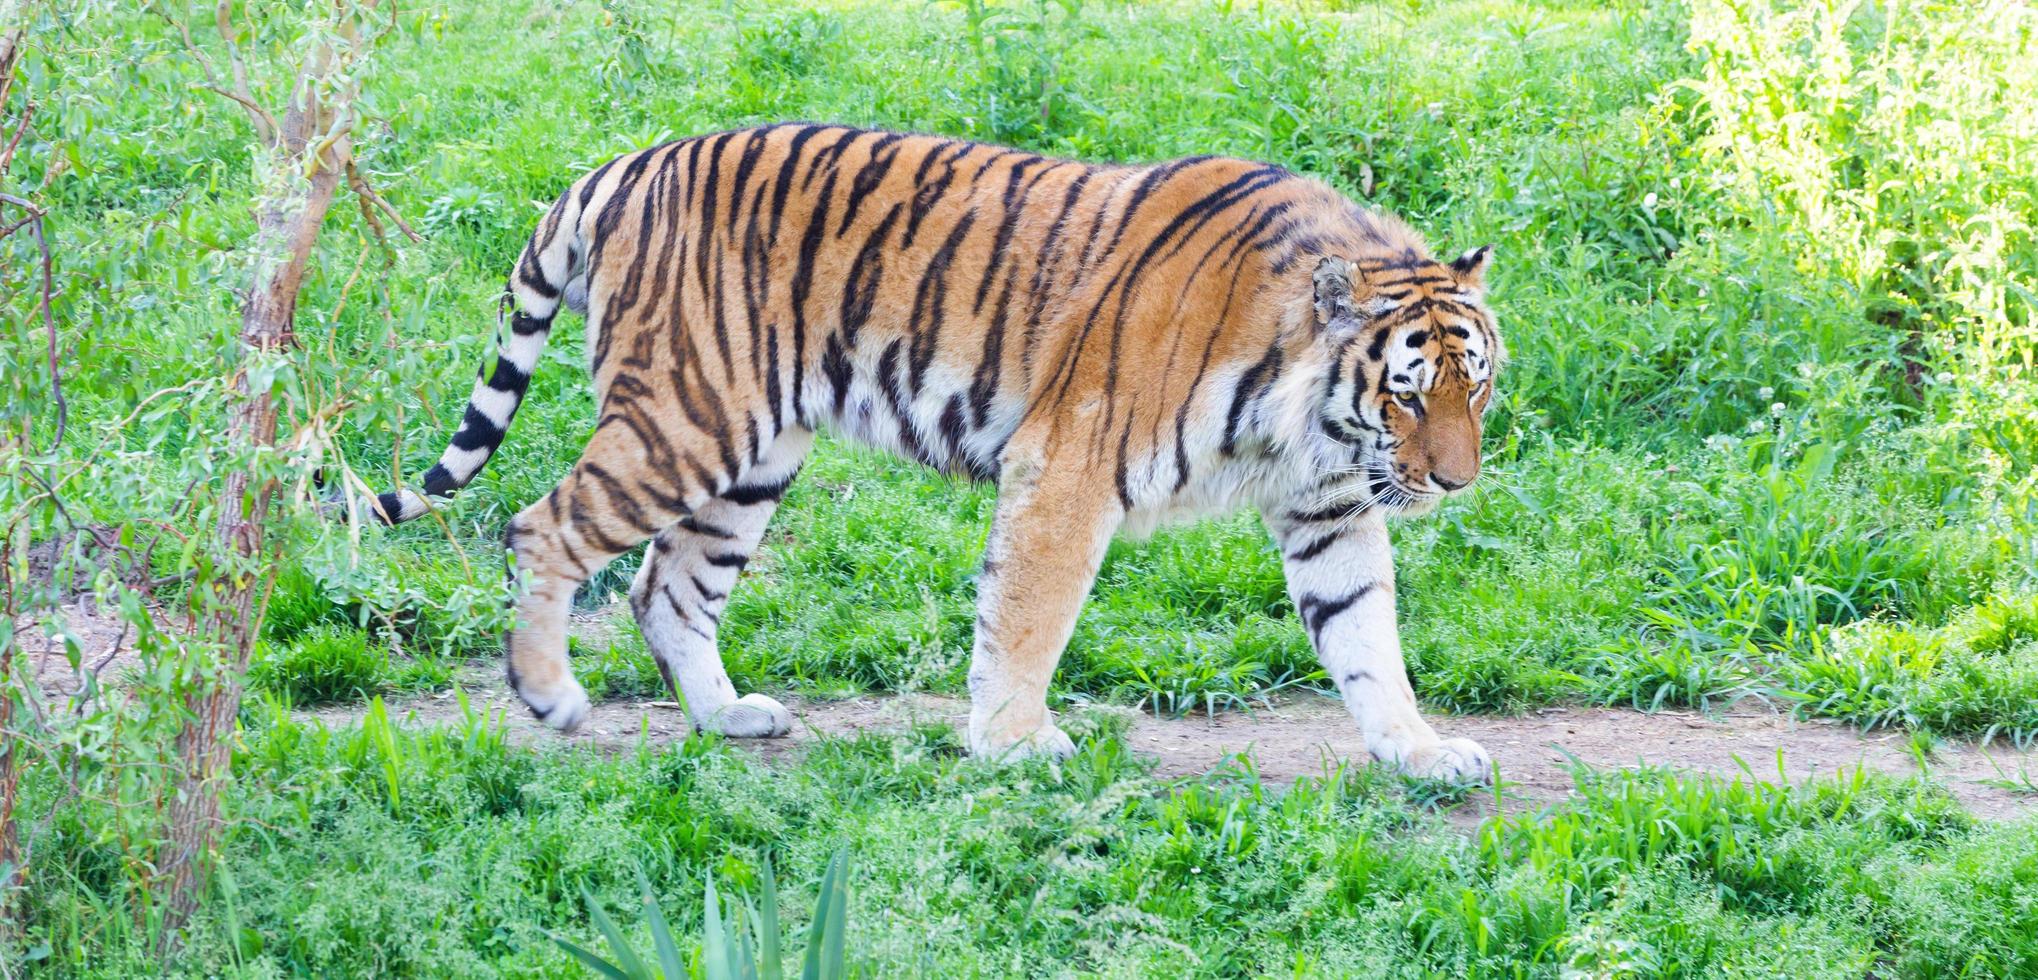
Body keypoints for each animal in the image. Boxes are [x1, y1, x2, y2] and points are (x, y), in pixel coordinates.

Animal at [366, 122, 1508, 778]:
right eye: (1407, 393)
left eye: (1477, 383)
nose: (1454, 481)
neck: (1306, 413)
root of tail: (618, 166)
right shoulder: (1068, 469)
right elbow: (1028, 618)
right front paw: (1013, 744)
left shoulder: (1330, 507)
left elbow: (1367, 639)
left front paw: (1421, 755)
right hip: (683, 420)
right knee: (540, 526)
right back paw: (550, 696)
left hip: (753, 454)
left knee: (668, 586)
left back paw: (728, 717)